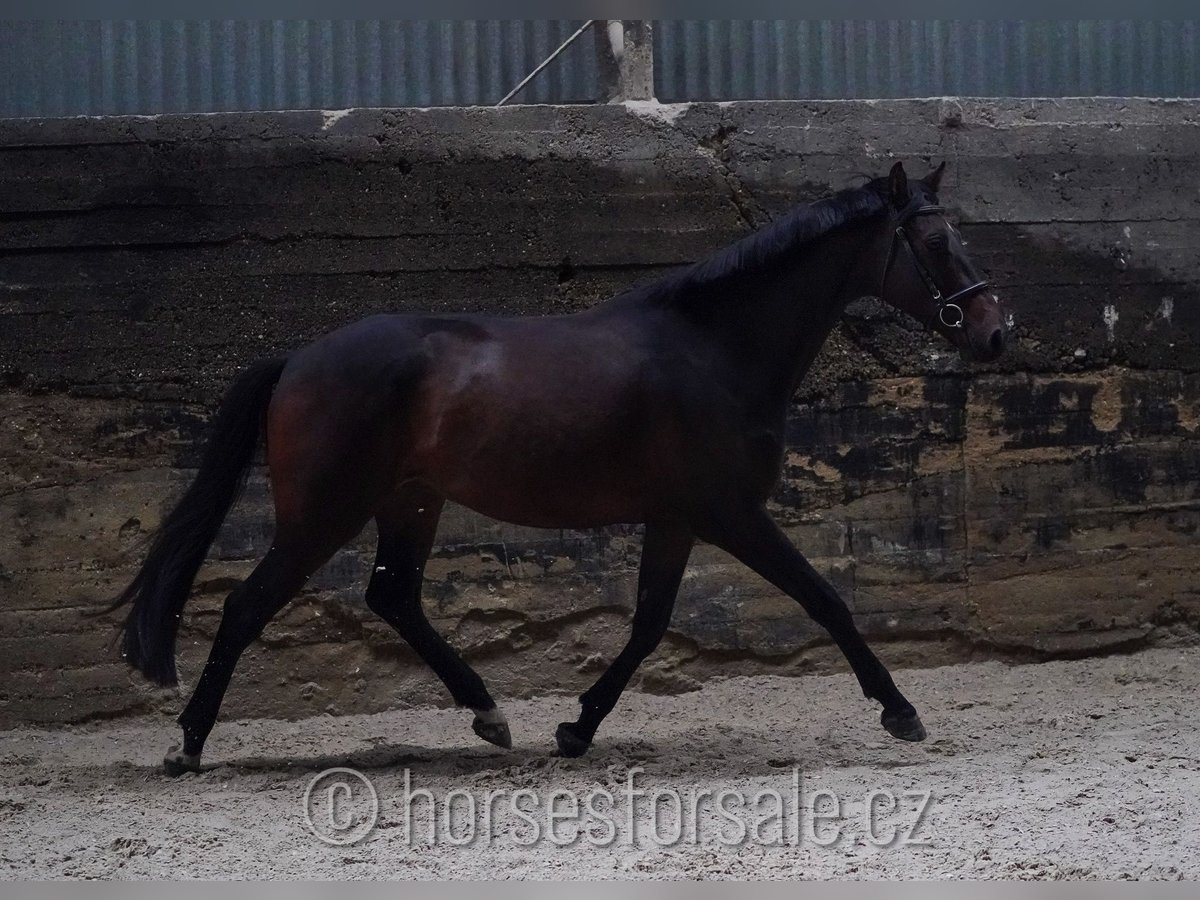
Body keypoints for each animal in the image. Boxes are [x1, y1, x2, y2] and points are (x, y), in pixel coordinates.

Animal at [112, 160, 1008, 777]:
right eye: (934, 242)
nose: (995, 333)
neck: (714, 349)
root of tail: (296, 359)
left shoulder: (675, 518)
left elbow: (648, 624)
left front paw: (576, 728)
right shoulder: (731, 513)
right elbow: (826, 600)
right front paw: (901, 711)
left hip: (410, 502)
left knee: (393, 597)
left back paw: (490, 715)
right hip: (321, 514)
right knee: (246, 608)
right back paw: (188, 745)